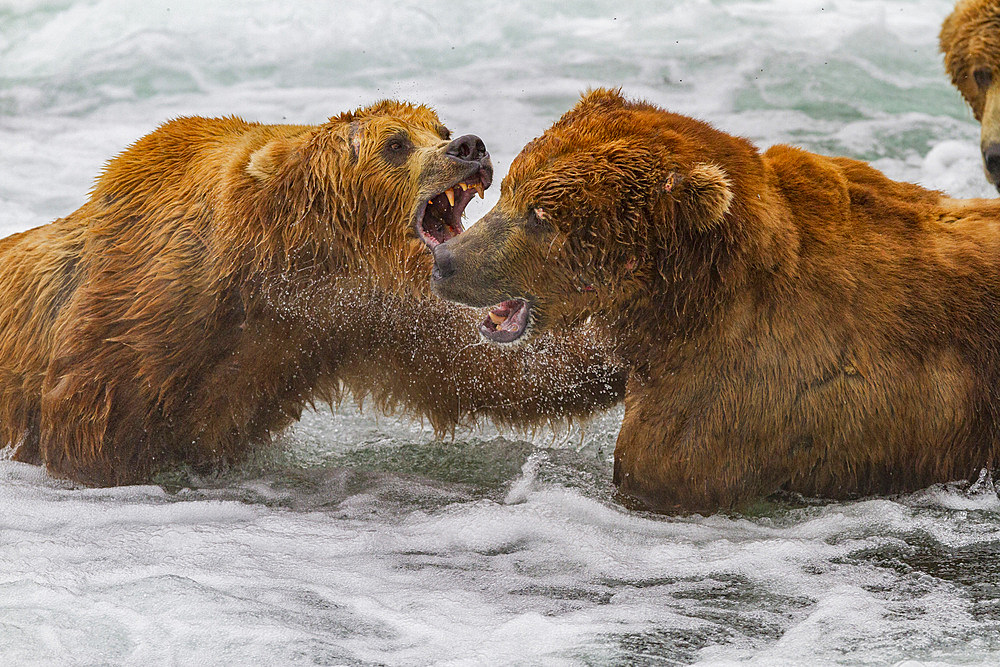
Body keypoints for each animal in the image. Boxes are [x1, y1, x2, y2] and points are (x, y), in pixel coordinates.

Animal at [1, 100, 624, 486]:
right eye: (396, 143)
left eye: (441, 131)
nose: (470, 146)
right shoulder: (148, 301)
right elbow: (89, 418)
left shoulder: (355, 313)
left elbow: (487, 369)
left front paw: (615, 351)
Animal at [432, 88, 1000, 516]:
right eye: (512, 188)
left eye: (541, 216)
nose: (446, 261)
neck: (684, 302)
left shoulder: (736, 403)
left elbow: (660, 467)